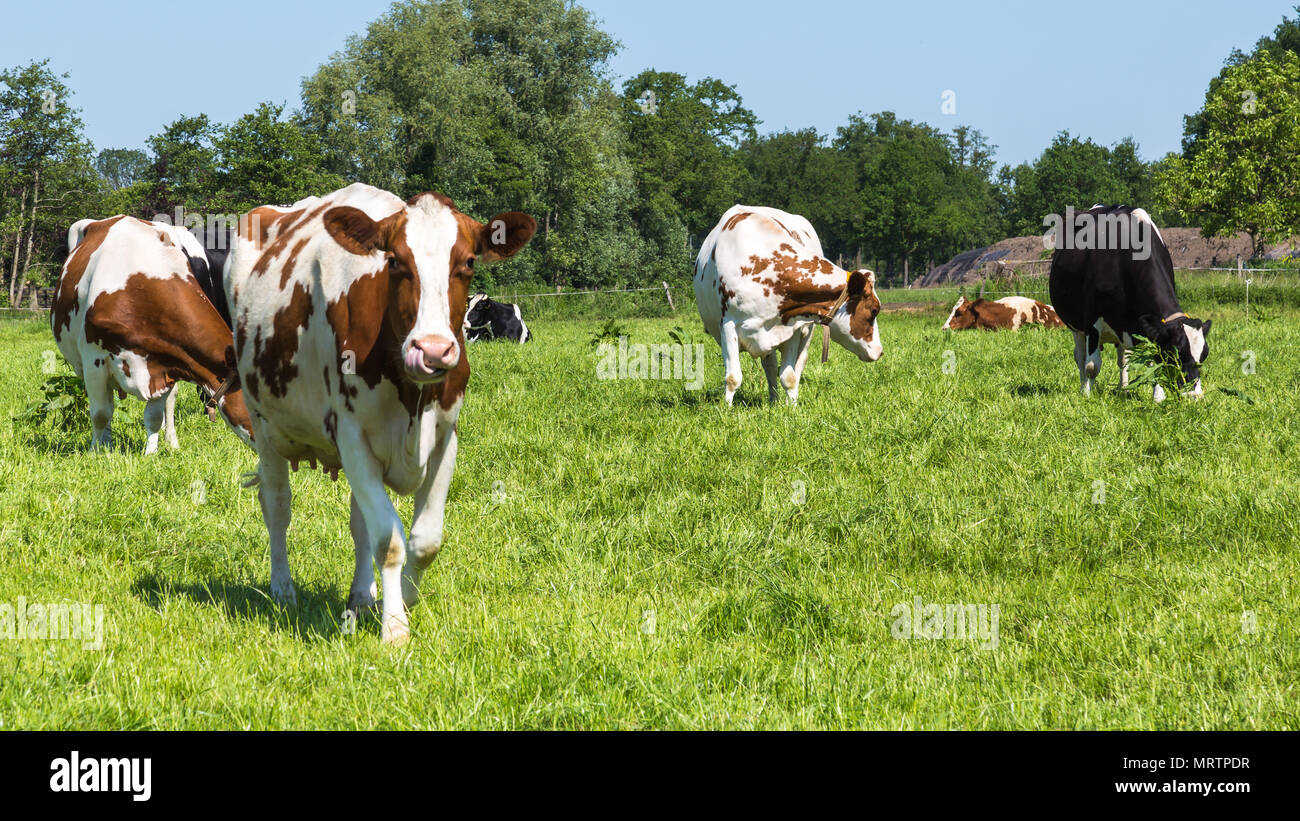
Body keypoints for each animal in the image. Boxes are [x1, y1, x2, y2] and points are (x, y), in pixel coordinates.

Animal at [51, 215, 254, 453]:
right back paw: (107, 442)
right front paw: (97, 451)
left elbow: (154, 416)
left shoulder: (167, 362)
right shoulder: (94, 360)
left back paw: (171, 441)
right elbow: (100, 414)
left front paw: (151, 454)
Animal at [225, 183, 536, 644]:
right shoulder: (351, 434)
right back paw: (283, 589)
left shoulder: (445, 437)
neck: (412, 397)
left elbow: (424, 540)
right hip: (263, 423)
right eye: (394, 261)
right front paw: (394, 629)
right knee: (277, 504)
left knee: (359, 525)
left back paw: (360, 597)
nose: (432, 350)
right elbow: (389, 540)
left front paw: (402, 600)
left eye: (468, 262)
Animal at [694, 205, 883, 406]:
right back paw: (773, 400)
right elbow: (732, 378)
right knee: (769, 366)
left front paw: (792, 408)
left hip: (805, 334)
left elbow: (789, 376)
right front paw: (727, 409)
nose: (880, 351)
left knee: (795, 366)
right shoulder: (728, 325)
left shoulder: (792, 326)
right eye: (874, 310)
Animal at [1049, 205, 1211, 401]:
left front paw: (1158, 398)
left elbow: (1152, 362)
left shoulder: (1147, 327)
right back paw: (1083, 388)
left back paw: (1124, 389)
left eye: (1204, 355)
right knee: (1080, 357)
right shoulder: (1092, 321)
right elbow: (1091, 367)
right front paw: (1088, 396)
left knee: (1123, 360)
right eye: (1175, 353)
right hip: (1076, 327)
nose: (1194, 395)